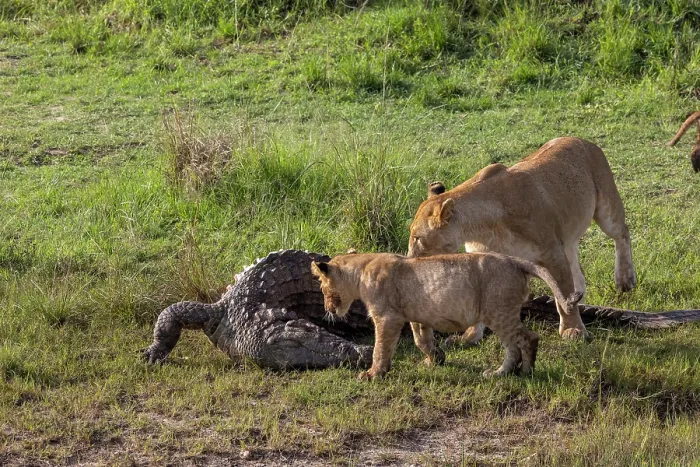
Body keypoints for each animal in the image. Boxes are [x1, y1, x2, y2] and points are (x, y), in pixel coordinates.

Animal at [311, 252, 582, 380]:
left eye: (322, 288)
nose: (328, 309)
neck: (361, 269)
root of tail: (516, 261)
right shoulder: (416, 315)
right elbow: (422, 340)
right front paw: (435, 360)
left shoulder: (387, 317)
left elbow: (380, 349)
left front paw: (373, 374)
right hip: (500, 314)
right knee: (513, 346)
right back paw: (501, 373)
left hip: (499, 312)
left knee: (528, 338)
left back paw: (522, 372)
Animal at [408, 137, 636, 344]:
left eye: (417, 238)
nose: (408, 260)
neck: (482, 227)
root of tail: (581, 139)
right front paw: (469, 336)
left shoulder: (552, 254)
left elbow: (562, 294)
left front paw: (573, 330)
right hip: (567, 236)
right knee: (577, 271)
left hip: (607, 210)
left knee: (623, 233)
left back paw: (625, 279)